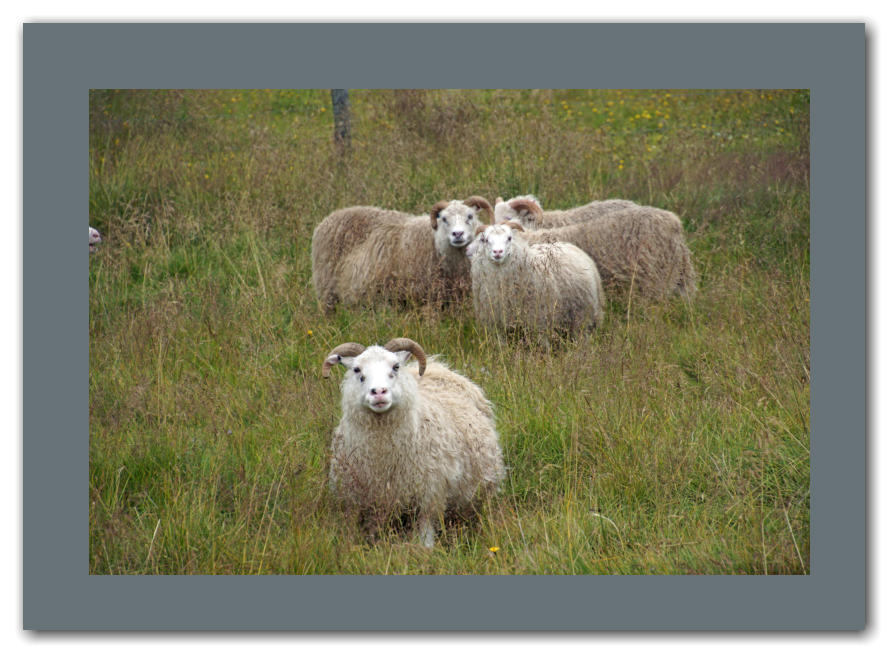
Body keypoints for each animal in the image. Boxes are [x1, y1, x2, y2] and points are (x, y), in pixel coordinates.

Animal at [322, 337, 505, 547]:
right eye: (357, 370)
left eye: (395, 366)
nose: (379, 392)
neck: (382, 454)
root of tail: (437, 367)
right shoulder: (368, 502)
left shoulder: (429, 496)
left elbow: (426, 536)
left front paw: (426, 550)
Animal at [468, 221, 605, 340]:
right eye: (485, 240)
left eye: (509, 238)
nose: (497, 252)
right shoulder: (497, 326)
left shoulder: (539, 322)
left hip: (582, 316)